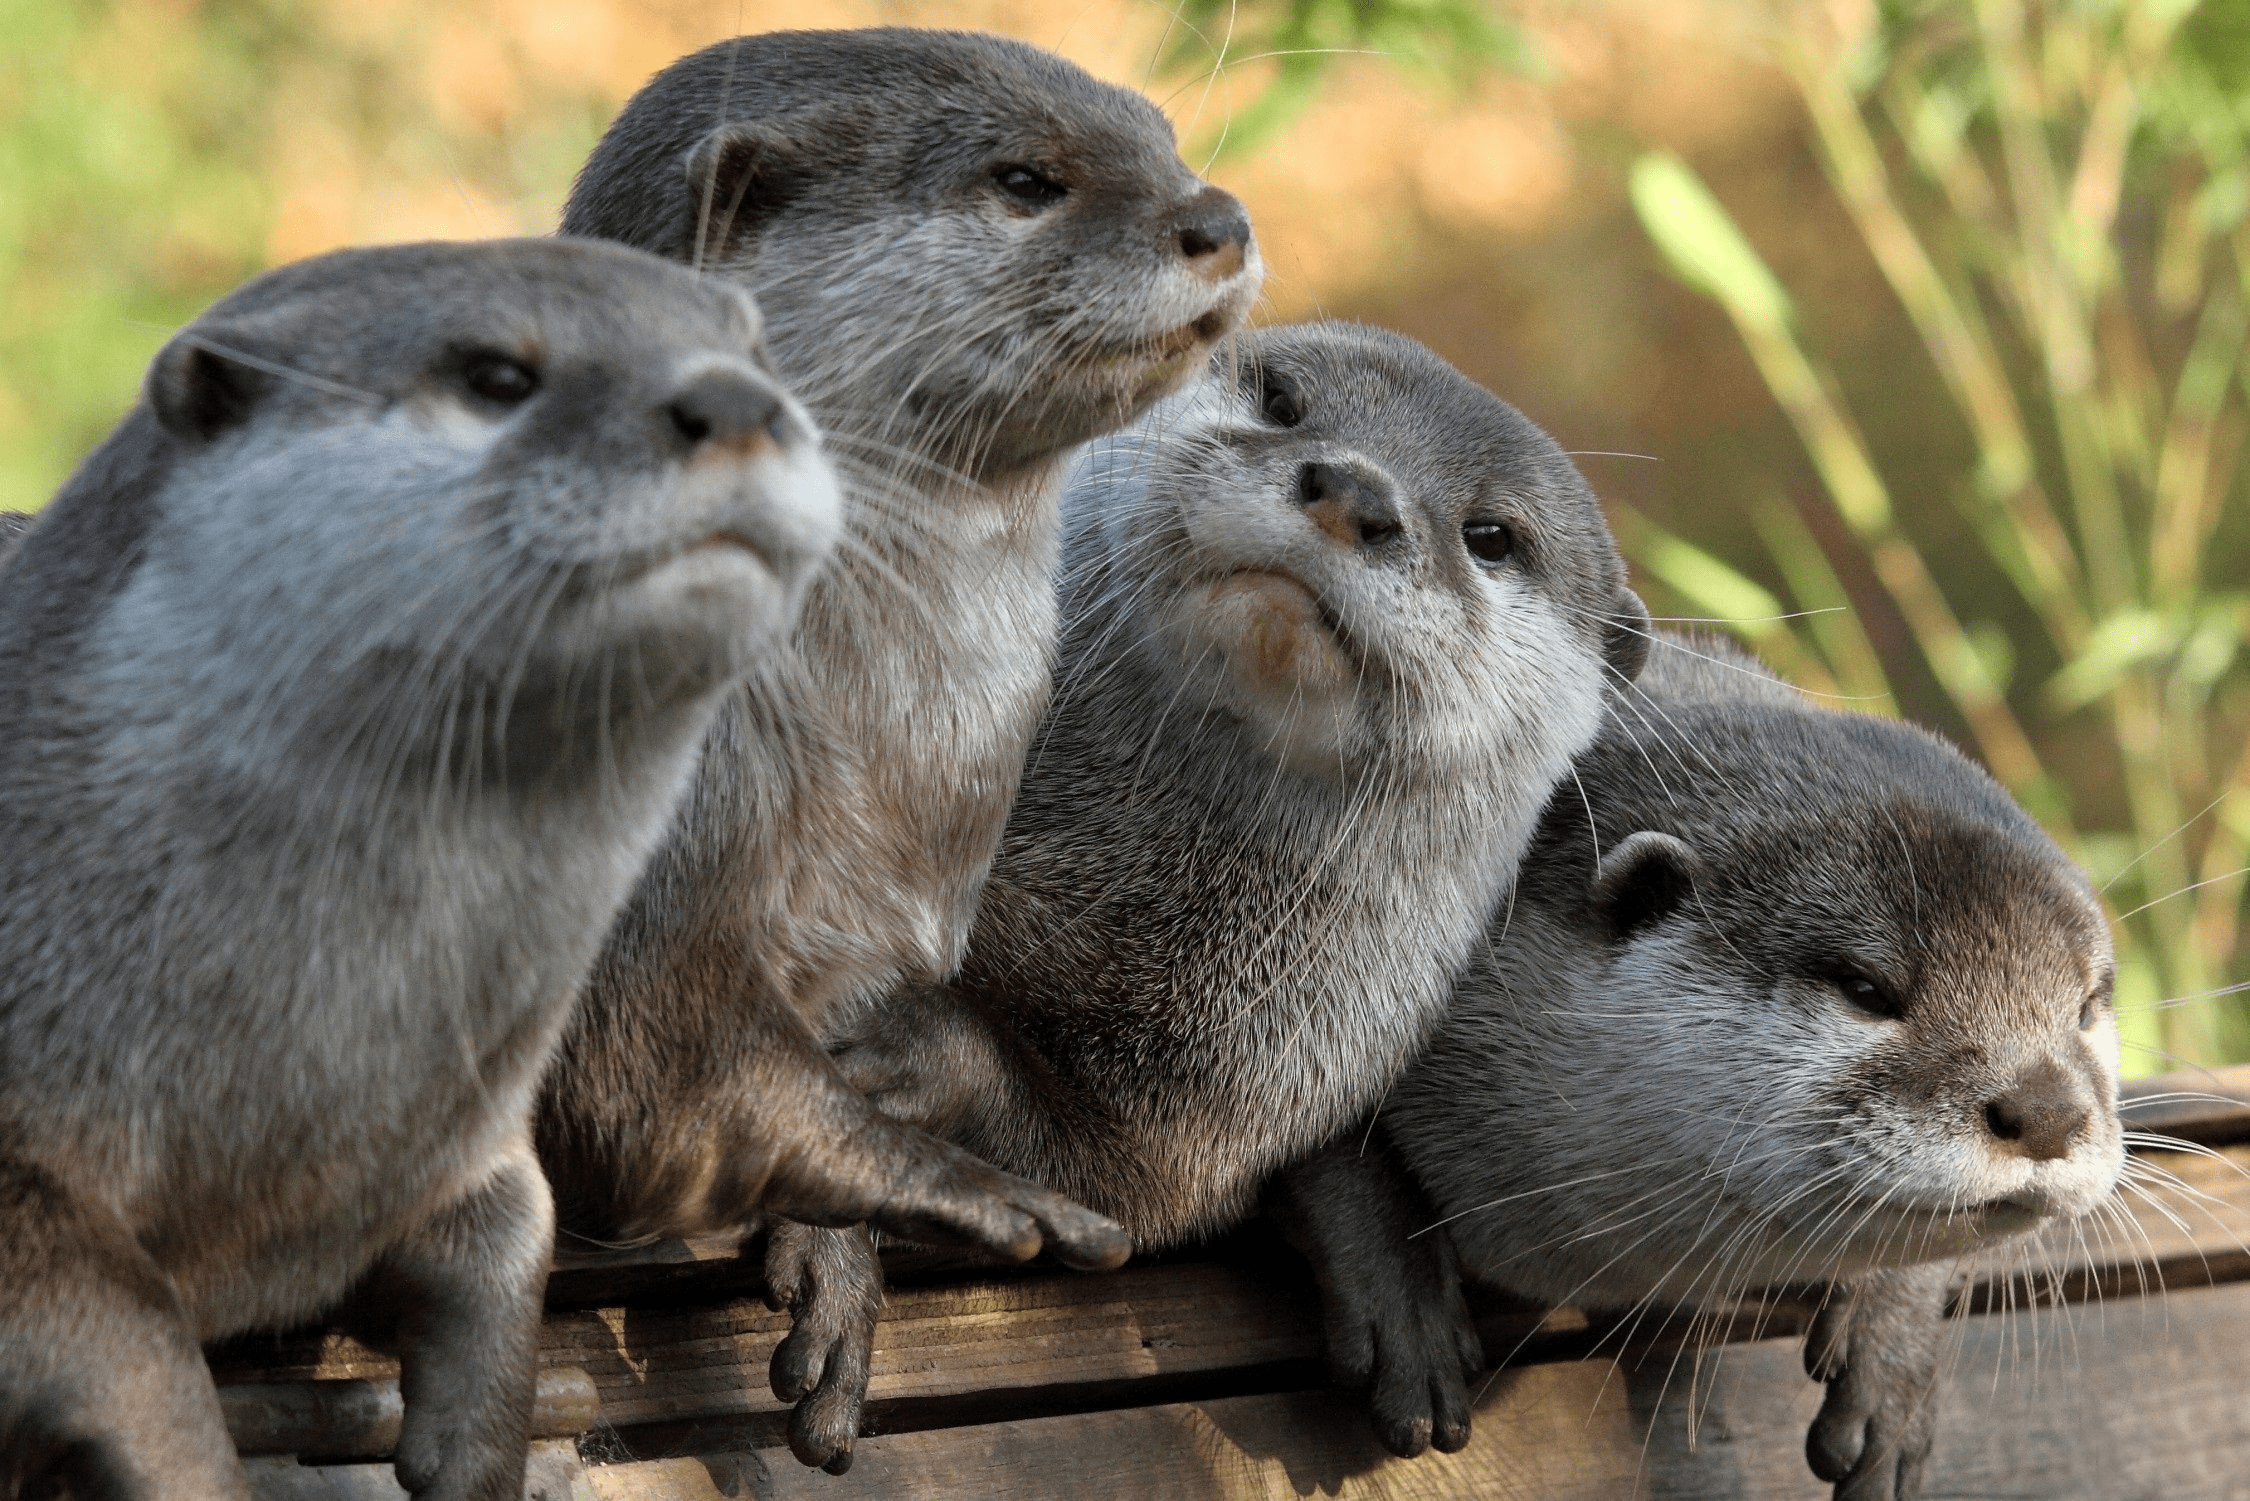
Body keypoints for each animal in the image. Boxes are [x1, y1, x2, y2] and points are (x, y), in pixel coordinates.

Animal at [0, 239, 837, 1499]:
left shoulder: (470, 1134)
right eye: (496, 375)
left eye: (759, 351)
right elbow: (129, 1348)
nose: (738, 400)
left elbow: (511, 1238)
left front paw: (478, 1451)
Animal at [542, 26, 1262, 1435]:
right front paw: (960, 1185)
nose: (1217, 215)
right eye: (1025, 178)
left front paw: (833, 1264)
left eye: (1163, 139)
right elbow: (644, 1077)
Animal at [781, 322, 1652, 1463]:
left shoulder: (1209, 1104)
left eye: (1494, 535)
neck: (1108, 901)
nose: (1355, 489)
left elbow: (1103, 1187)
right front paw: (827, 1252)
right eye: (1281, 398)